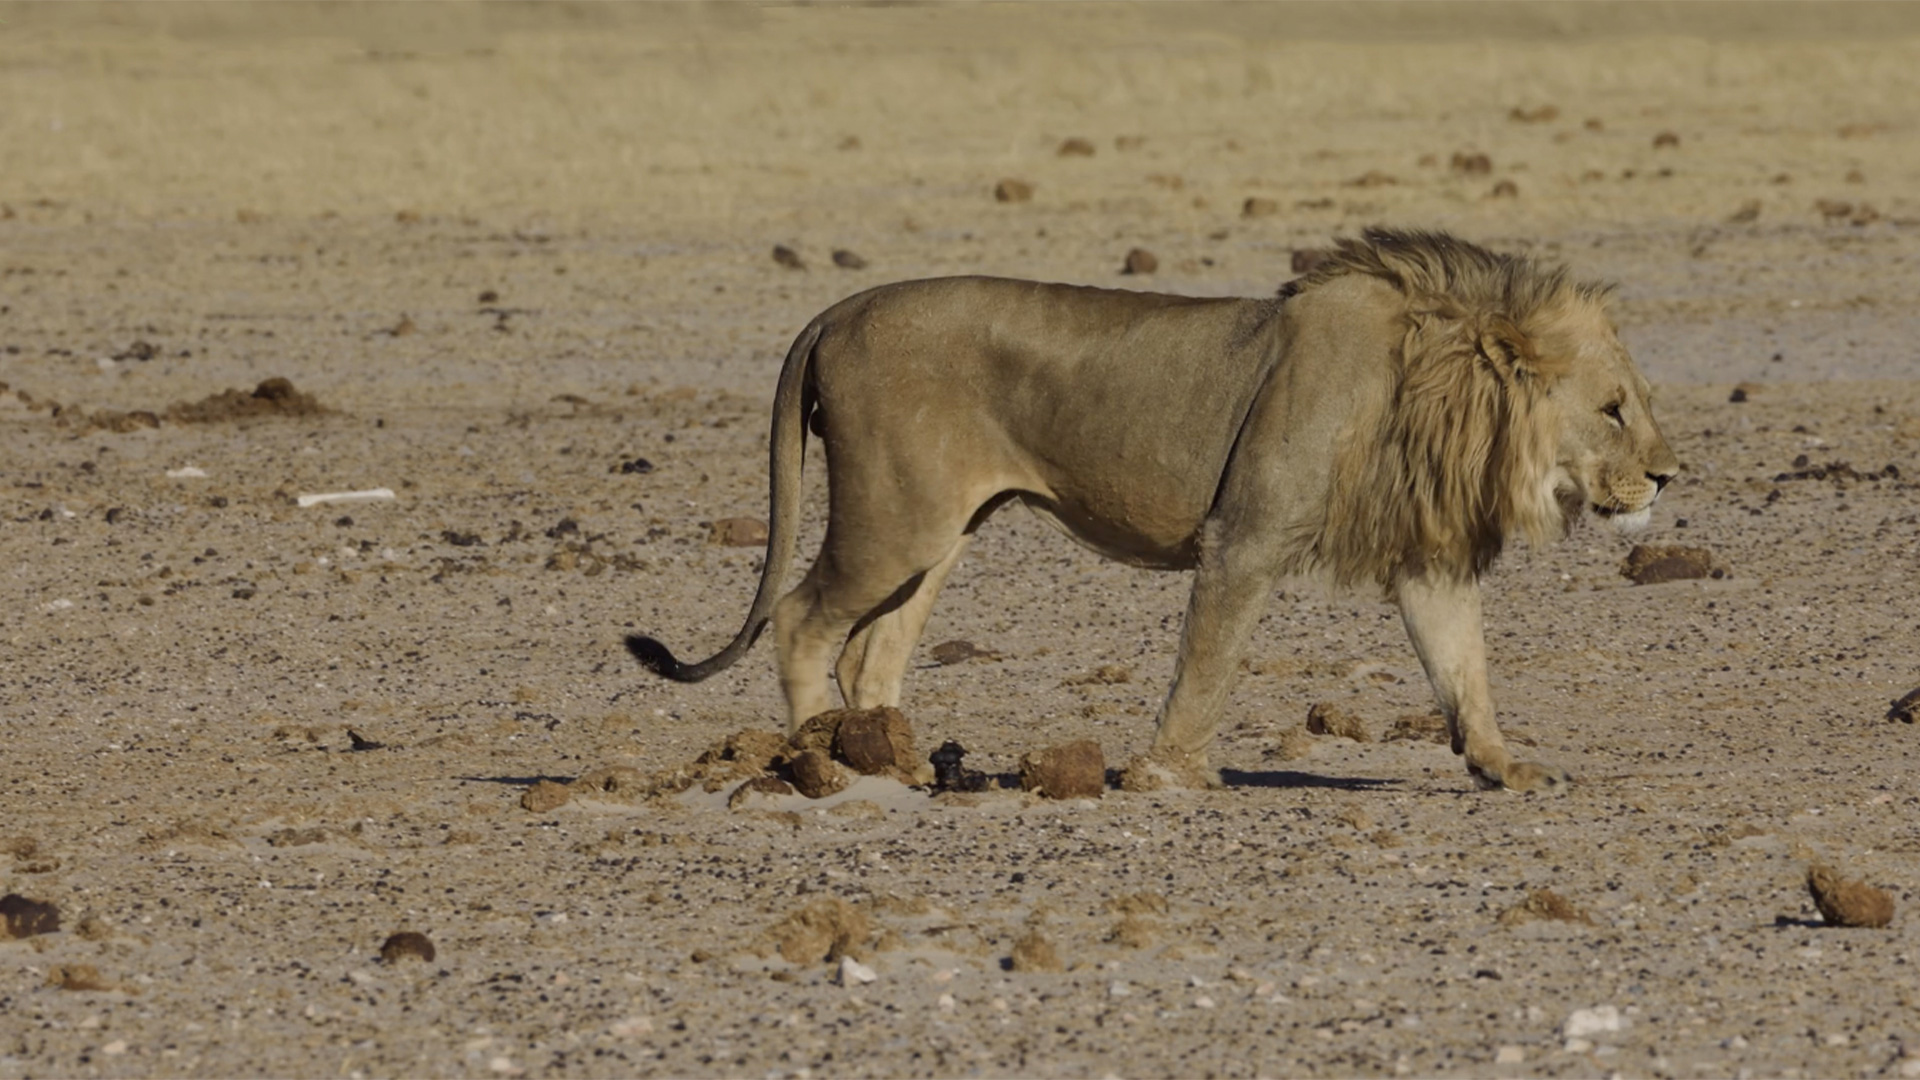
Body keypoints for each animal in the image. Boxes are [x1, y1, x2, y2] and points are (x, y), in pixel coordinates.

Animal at [629, 226, 1681, 791]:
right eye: (1614, 409)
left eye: (1639, 402)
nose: (1671, 476)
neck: (1436, 391)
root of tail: (833, 311)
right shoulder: (1244, 536)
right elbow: (1207, 667)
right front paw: (1169, 774)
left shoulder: (1428, 557)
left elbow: (1465, 671)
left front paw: (1505, 766)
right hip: (895, 520)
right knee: (804, 620)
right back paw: (827, 761)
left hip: (942, 532)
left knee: (872, 651)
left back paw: (906, 767)